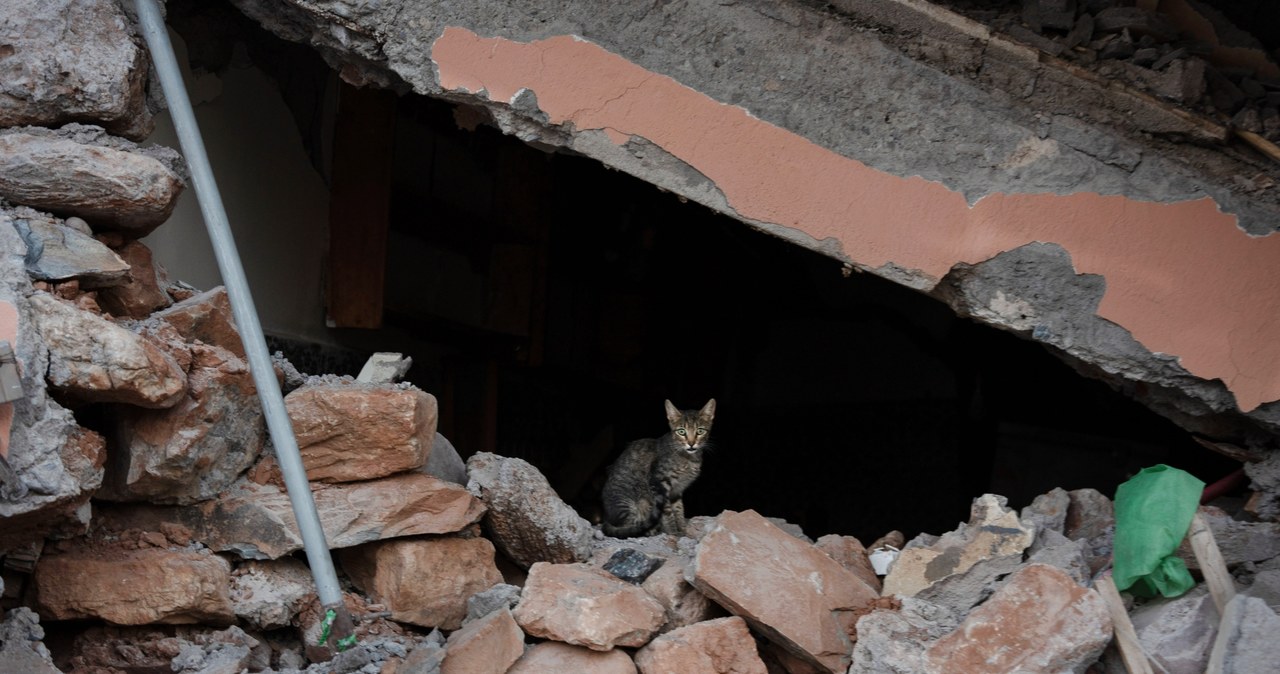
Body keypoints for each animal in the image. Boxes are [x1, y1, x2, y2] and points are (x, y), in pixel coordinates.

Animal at [601, 401, 716, 537]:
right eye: (681, 431)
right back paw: (648, 530)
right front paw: (673, 532)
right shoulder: (659, 483)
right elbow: (668, 512)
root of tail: (606, 517)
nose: (691, 443)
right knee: (629, 527)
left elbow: (679, 510)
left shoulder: (676, 491)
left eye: (700, 431)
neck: (689, 458)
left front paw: (683, 529)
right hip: (626, 504)